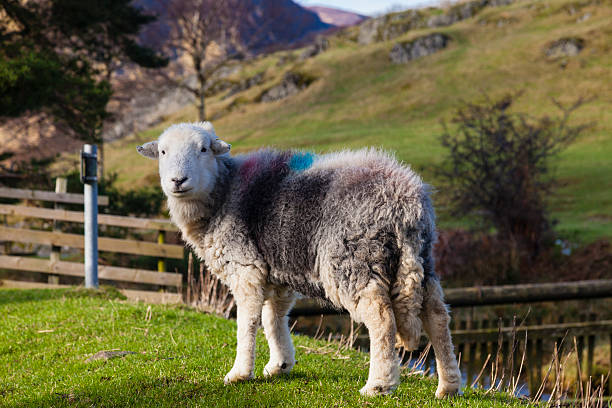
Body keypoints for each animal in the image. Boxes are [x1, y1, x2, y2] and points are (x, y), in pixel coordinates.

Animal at [137, 122, 460, 398]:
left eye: (204, 149)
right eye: (163, 152)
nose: (177, 180)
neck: (222, 192)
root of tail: (405, 201)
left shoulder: (246, 267)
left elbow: (247, 321)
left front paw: (239, 373)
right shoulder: (277, 273)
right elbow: (273, 318)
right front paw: (279, 365)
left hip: (354, 259)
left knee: (381, 318)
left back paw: (379, 385)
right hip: (422, 259)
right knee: (436, 315)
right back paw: (448, 387)